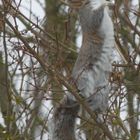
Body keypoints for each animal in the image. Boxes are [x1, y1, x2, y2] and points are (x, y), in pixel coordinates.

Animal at [48, 0, 114, 139]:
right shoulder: (89, 17)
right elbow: (96, 17)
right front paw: (105, 3)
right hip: (84, 76)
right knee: (82, 94)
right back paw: (81, 96)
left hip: (102, 90)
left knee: (93, 105)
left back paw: (98, 115)